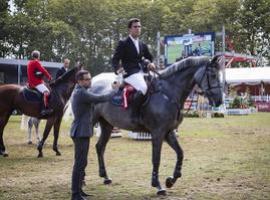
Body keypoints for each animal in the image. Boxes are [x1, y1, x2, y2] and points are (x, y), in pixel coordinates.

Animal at [92, 55, 223, 195]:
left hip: (107, 125)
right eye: (213, 75)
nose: (219, 100)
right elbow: (156, 158)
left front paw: (171, 180)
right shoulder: (158, 133)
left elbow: (180, 153)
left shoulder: (168, 132)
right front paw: (158, 186)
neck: (168, 94)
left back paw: (105, 177)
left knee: (100, 147)